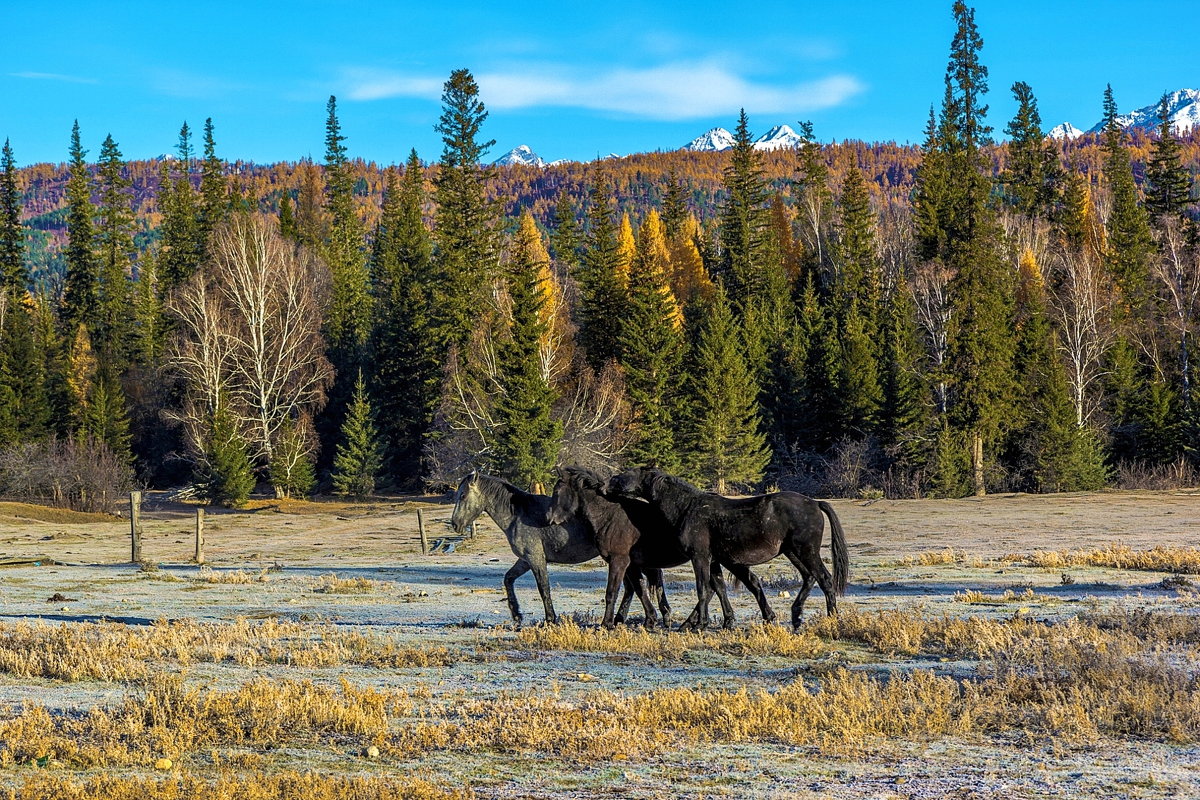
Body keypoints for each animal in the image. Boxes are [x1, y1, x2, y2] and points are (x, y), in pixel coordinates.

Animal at [549, 465, 734, 628]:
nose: (551, 519)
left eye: (557, 492)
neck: (610, 516)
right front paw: (650, 620)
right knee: (716, 588)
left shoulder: (619, 561)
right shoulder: (631, 564)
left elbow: (612, 592)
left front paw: (606, 624)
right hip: (710, 560)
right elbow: (640, 589)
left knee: (710, 589)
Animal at [604, 470, 849, 633]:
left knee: (825, 579)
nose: (606, 484)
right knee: (809, 578)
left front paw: (700, 625)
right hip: (793, 552)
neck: (688, 508)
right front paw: (727, 621)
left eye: (626, 474)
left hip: (806, 551)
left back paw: (832, 618)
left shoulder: (700, 557)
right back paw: (796, 617)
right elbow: (719, 588)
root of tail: (815, 503)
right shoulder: (713, 560)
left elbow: (703, 588)